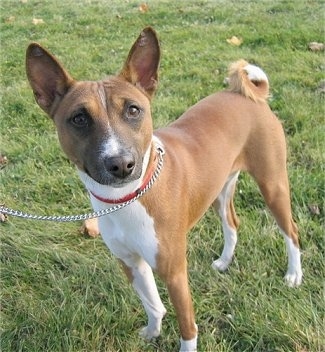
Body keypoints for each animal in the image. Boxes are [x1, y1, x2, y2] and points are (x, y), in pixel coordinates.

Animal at [25, 27, 302, 352]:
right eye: (79, 118)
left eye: (133, 110)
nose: (121, 164)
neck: (127, 199)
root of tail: (248, 96)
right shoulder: (131, 262)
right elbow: (153, 304)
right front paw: (153, 331)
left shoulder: (174, 272)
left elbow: (187, 327)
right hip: (220, 190)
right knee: (232, 223)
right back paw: (224, 261)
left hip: (272, 185)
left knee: (291, 231)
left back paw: (294, 274)